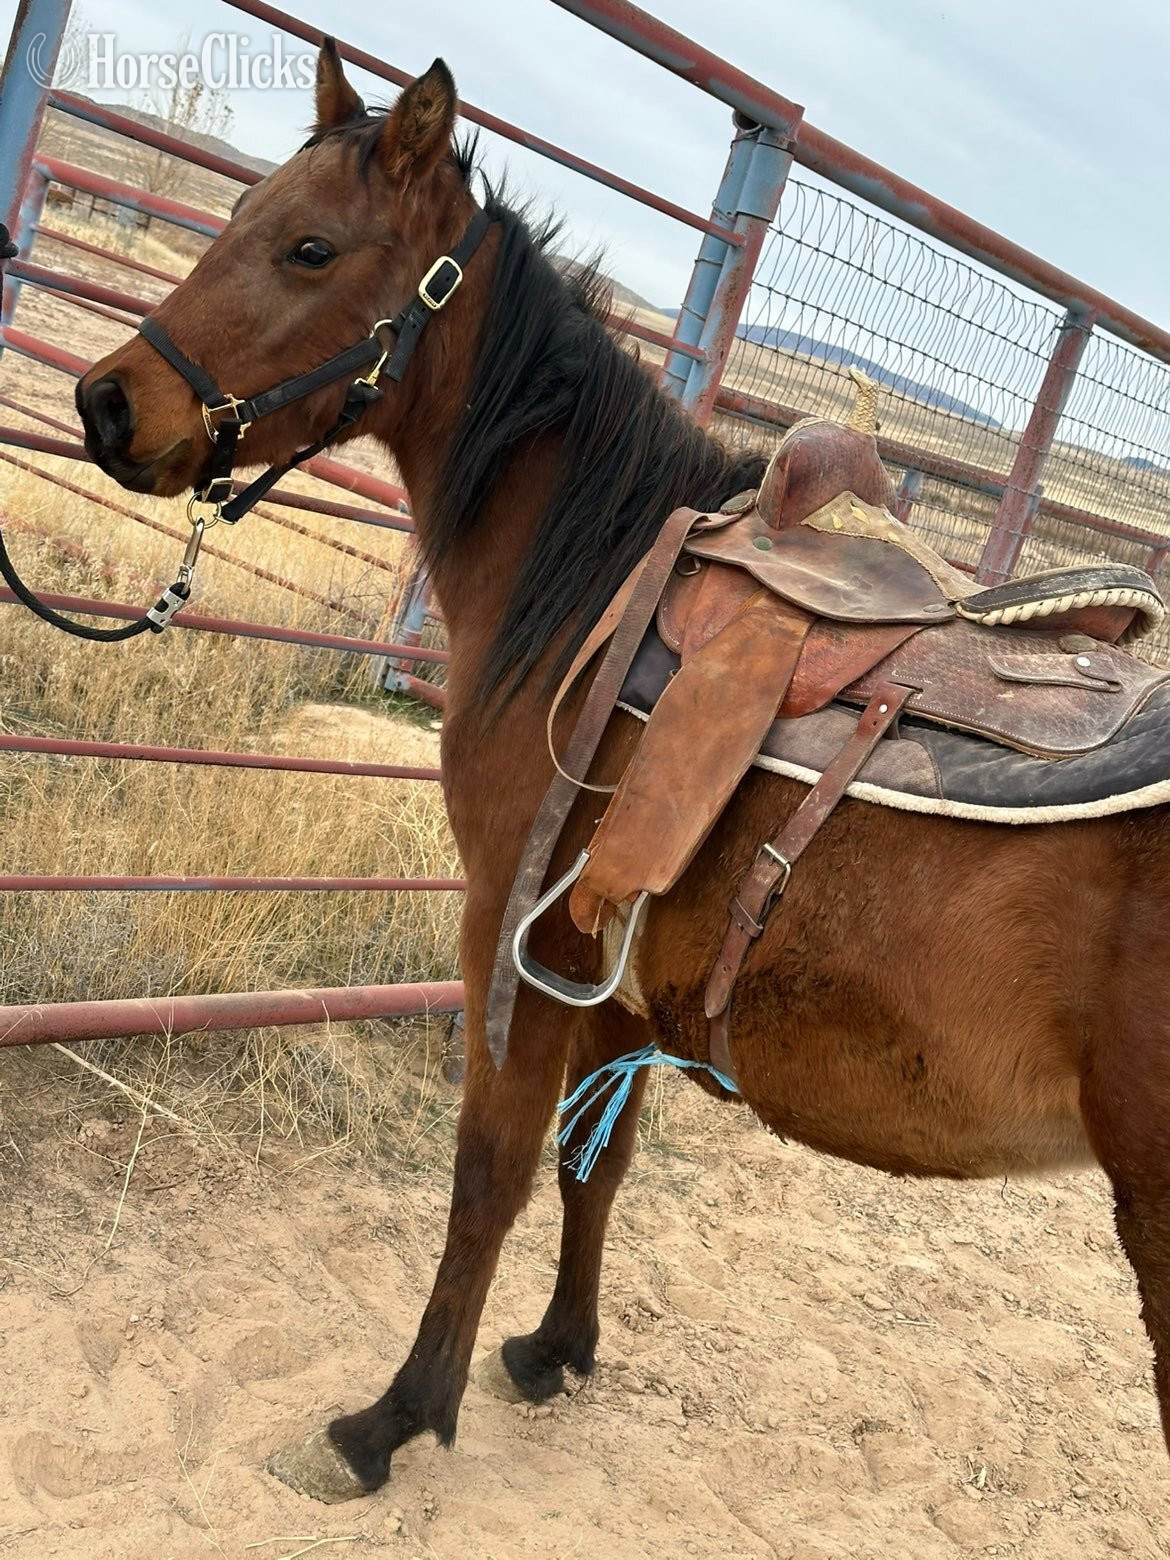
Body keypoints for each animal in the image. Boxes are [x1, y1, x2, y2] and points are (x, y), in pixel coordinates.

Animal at [75, 45, 1170, 1501]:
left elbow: (492, 1169)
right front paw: (556, 1349)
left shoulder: (515, 933)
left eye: (309, 247)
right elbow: (599, 1164)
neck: (598, 585)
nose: (105, 402)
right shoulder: (606, 957)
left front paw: (398, 1416)